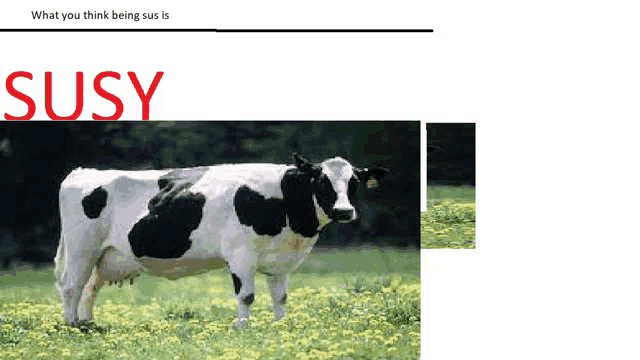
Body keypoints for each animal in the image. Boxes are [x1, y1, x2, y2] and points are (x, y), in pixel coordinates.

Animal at [53, 153, 390, 328]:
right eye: (321, 181)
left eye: (354, 182)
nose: (344, 211)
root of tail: (82, 171)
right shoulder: (241, 255)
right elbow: (247, 296)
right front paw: (243, 326)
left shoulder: (279, 260)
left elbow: (280, 297)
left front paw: (281, 326)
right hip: (82, 248)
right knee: (71, 287)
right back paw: (72, 325)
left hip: (106, 256)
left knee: (90, 288)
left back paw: (89, 323)